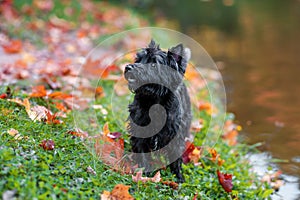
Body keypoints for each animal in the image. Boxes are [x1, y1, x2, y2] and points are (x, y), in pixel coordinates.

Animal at [125, 39, 192, 183]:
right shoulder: (140, 130)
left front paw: (178, 177)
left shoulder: (176, 136)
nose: (128, 67)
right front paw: (144, 172)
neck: (154, 101)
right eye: (138, 59)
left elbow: (176, 158)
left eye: (154, 64)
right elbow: (142, 152)